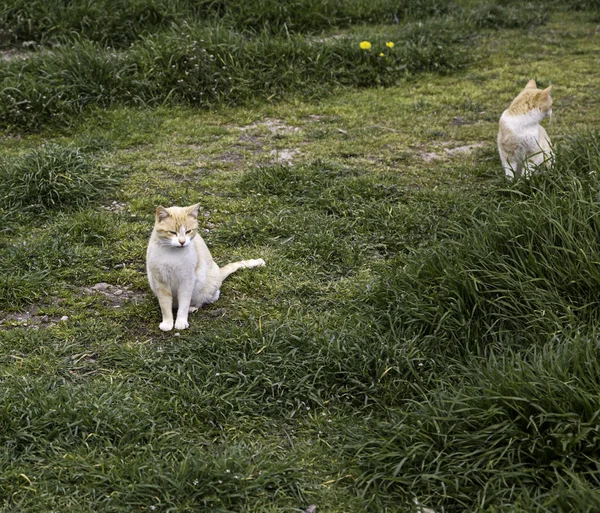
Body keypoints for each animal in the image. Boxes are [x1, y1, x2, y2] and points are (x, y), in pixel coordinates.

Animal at [146, 204, 264, 332]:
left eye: (188, 231)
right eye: (172, 232)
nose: (182, 242)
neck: (173, 253)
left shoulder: (187, 281)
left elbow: (184, 303)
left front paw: (181, 321)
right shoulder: (160, 281)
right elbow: (165, 305)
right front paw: (167, 322)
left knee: (209, 297)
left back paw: (192, 307)